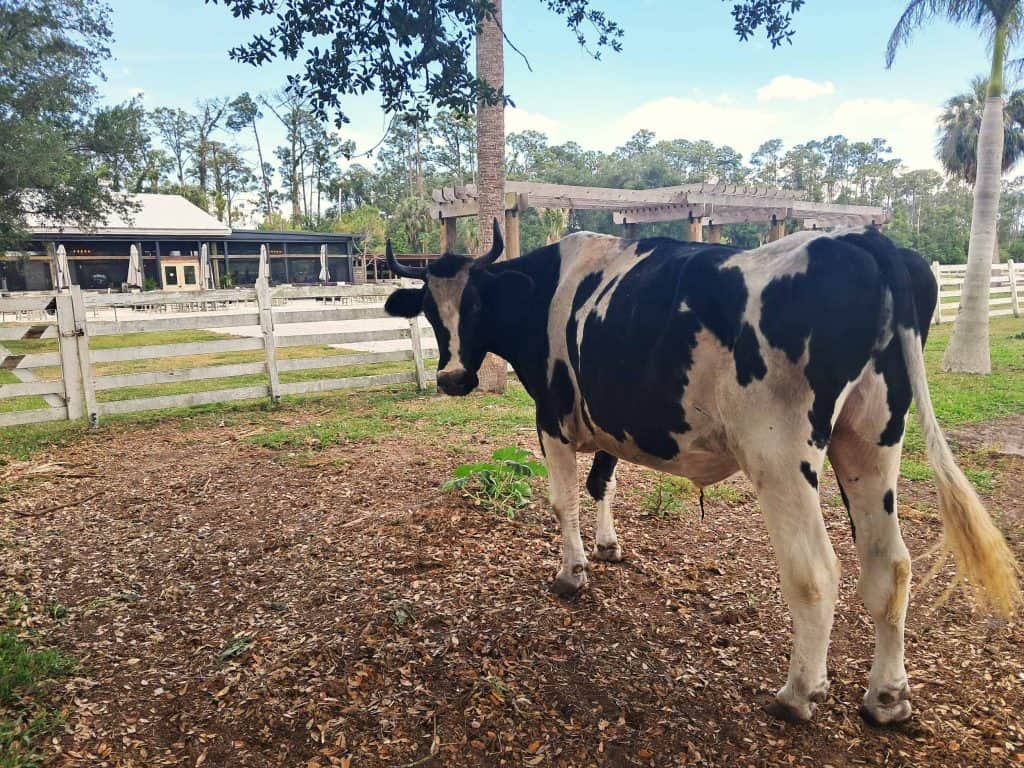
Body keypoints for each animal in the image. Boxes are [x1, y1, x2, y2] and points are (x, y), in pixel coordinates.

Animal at [383, 221, 1021, 725]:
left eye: (475, 306)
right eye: (430, 312)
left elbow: (564, 500)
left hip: (779, 455)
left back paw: (798, 693)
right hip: (872, 439)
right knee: (890, 566)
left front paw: (572, 573)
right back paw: (887, 697)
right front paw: (609, 546)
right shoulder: (613, 419)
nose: (452, 378)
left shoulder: (554, 415)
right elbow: (601, 482)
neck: (544, 289)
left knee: (816, 572)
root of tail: (863, 241)